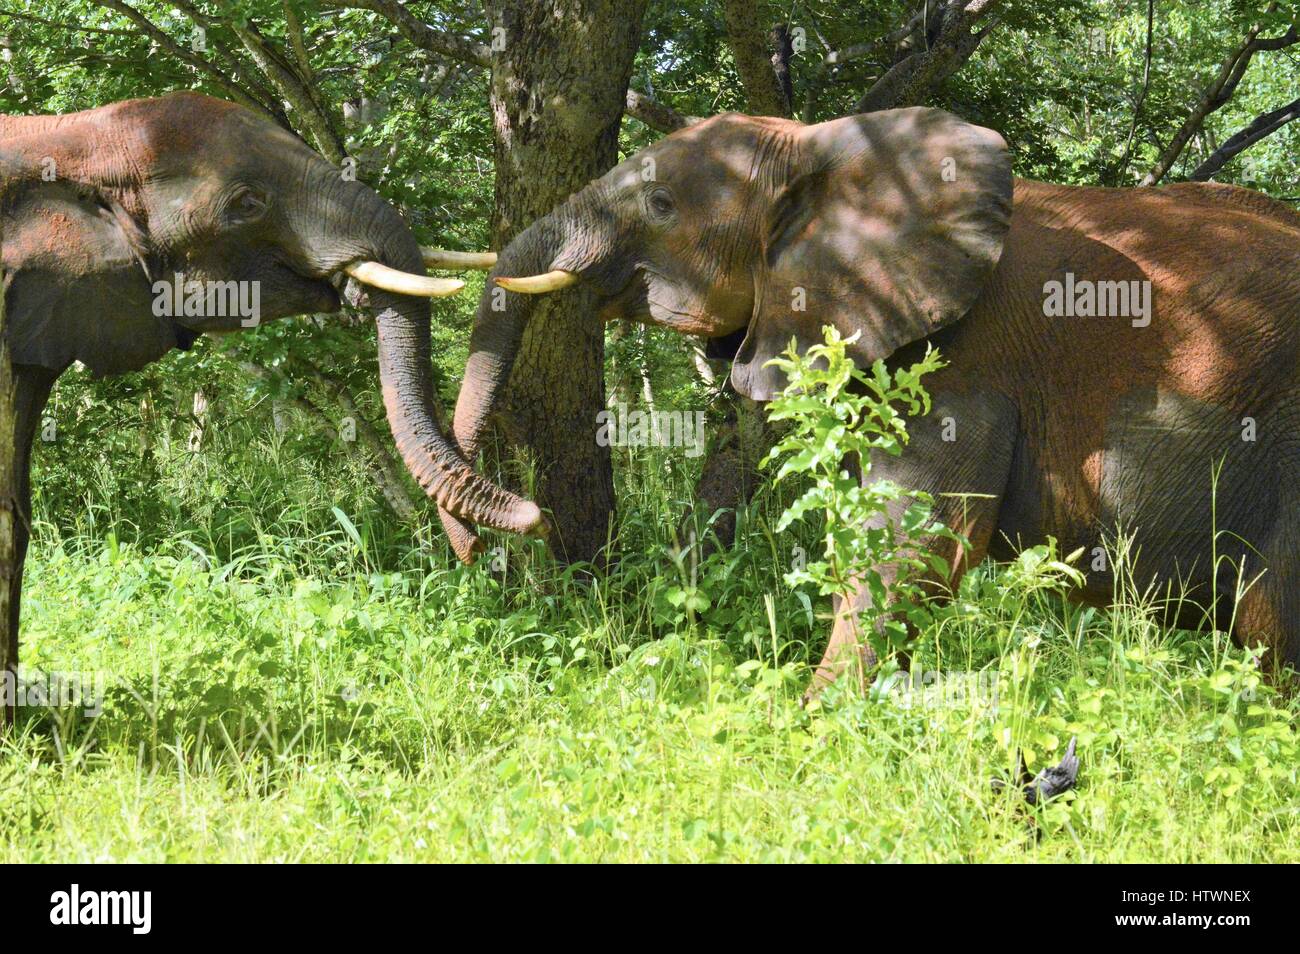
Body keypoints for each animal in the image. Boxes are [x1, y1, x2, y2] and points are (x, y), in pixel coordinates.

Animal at [439, 106, 1300, 696]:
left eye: (659, 204)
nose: (507, 530)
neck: (822, 147)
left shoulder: (968, 361)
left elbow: (912, 547)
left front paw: (810, 727)